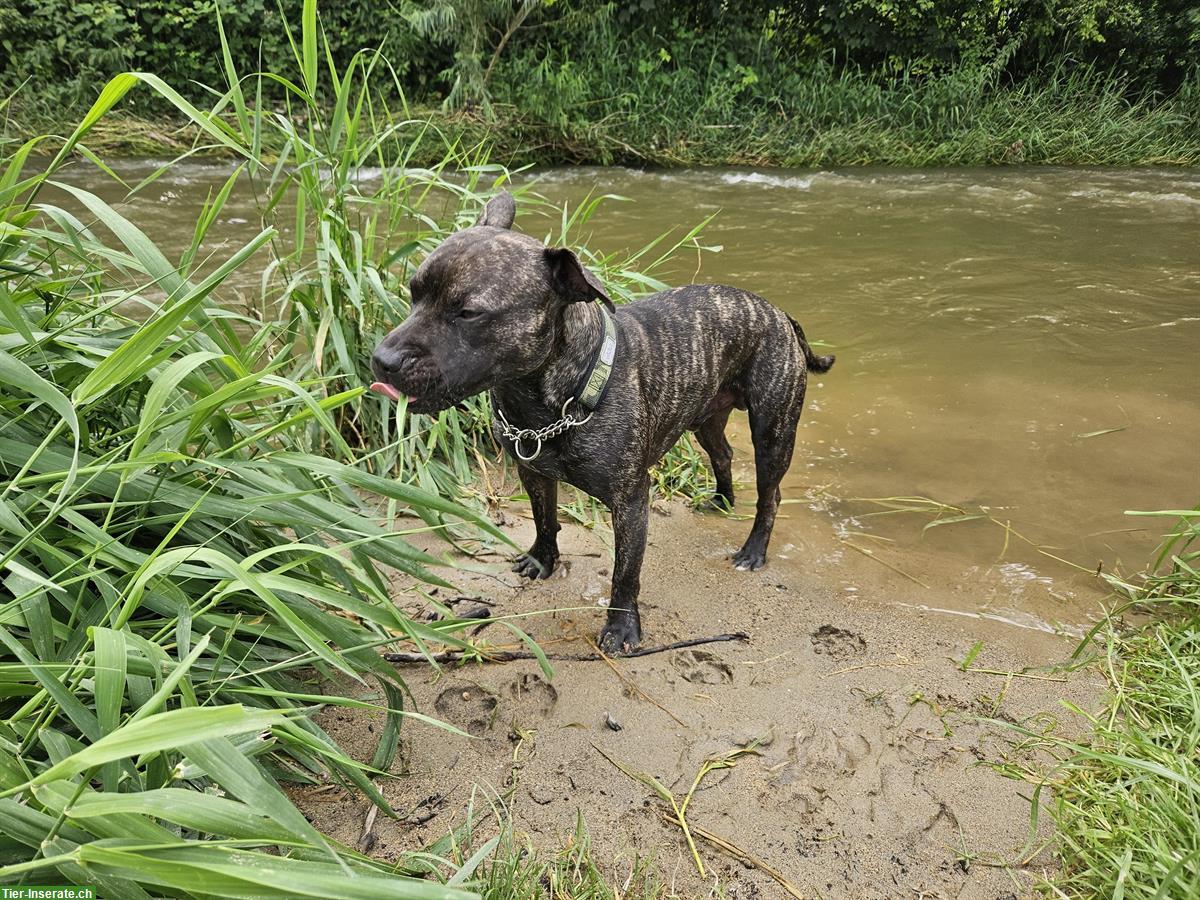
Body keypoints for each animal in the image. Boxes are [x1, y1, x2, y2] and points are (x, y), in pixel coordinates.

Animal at [369, 194, 830, 652]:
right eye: (413, 293)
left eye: (467, 313)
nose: (382, 359)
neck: (547, 399)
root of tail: (780, 313)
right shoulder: (533, 473)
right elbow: (544, 520)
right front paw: (542, 560)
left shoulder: (630, 502)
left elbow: (625, 572)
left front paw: (622, 627)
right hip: (706, 421)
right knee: (724, 453)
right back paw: (721, 500)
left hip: (773, 432)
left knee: (770, 495)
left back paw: (753, 551)